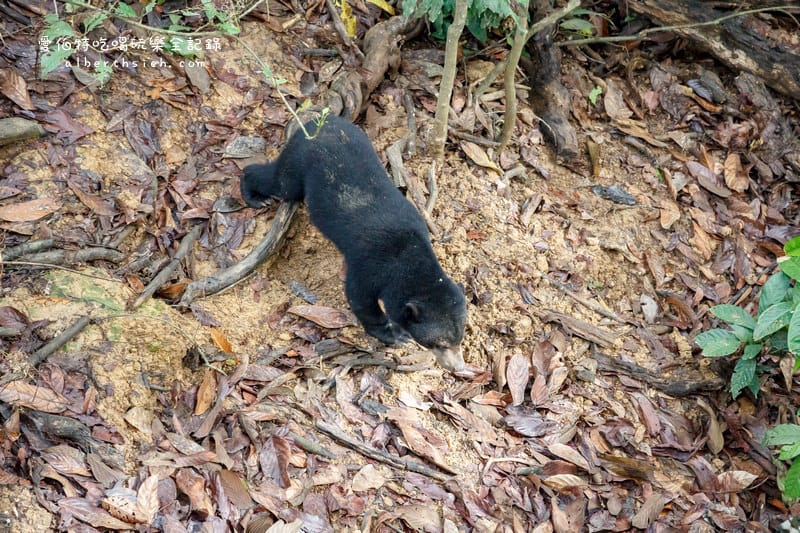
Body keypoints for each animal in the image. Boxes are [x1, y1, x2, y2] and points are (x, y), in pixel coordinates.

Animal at [241, 116, 467, 371]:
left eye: (459, 339)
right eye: (438, 343)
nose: (458, 367)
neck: (410, 252)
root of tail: (317, 122)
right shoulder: (371, 264)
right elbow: (359, 297)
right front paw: (396, 335)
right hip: (298, 160)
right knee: (279, 182)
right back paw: (254, 194)